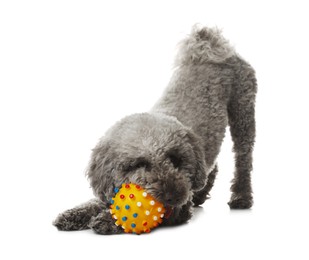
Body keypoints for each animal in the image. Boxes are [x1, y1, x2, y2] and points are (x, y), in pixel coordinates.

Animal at [53, 25, 258, 234]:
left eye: (176, 160)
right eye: (139, 164)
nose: (173, 196)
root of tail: (210, 43)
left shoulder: (179, 211)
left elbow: (134, 217)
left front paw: (108, 220)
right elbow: (95, 202)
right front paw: (73, 214)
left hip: (243, 112)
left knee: (243, 159)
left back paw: (241, 197)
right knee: (213, 165)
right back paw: (201, 195)